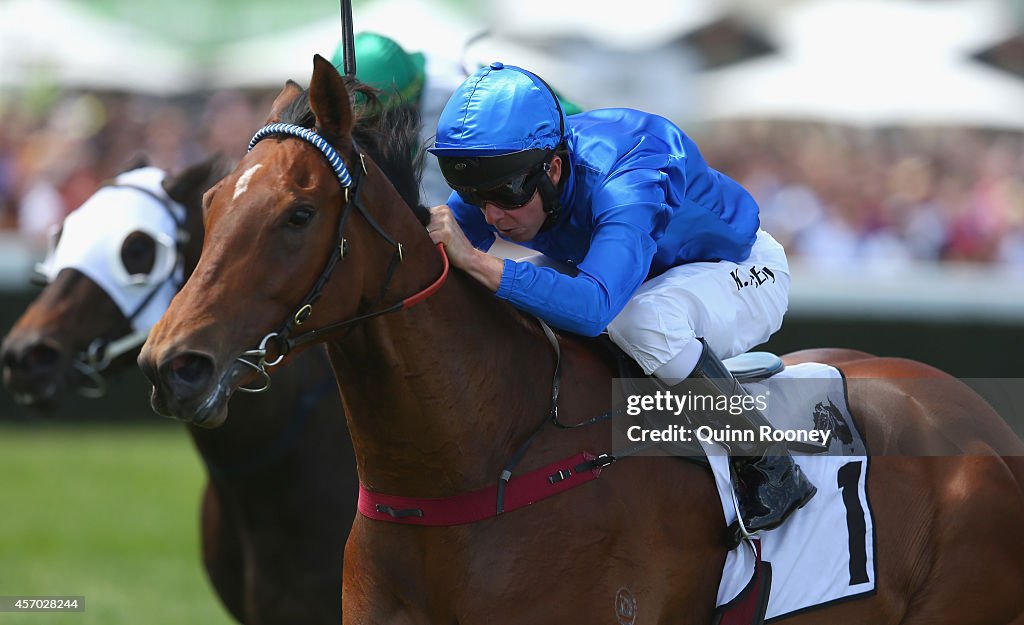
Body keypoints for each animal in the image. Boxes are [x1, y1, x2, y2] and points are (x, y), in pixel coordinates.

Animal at [140, 54, 1024, 622]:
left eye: (297, 215)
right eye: (210, 205)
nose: (172, 365)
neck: (481, 466)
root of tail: (982, 423)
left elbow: (605, 298)